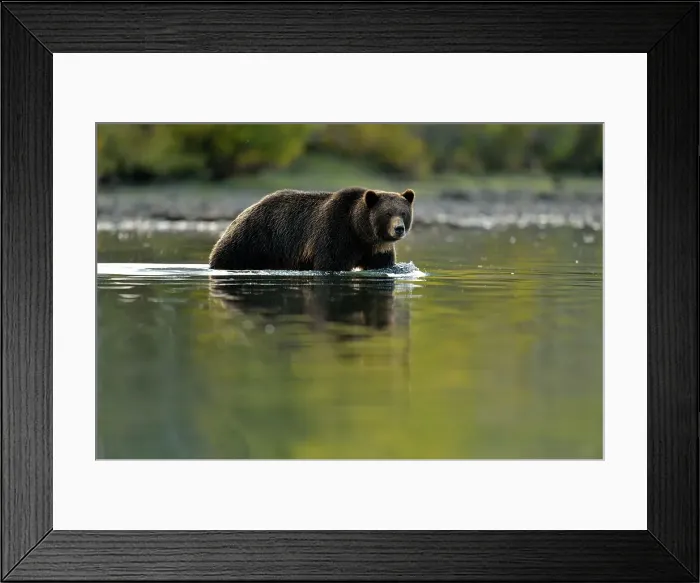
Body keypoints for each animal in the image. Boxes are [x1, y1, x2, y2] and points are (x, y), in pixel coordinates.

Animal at [208, 186, 415, 271]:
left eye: (403, 212)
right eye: (388, 213)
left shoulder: (377, 249)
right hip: (254, 238)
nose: (398, 229)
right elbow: (330, 262)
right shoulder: (335, 231)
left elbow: (382, 263)